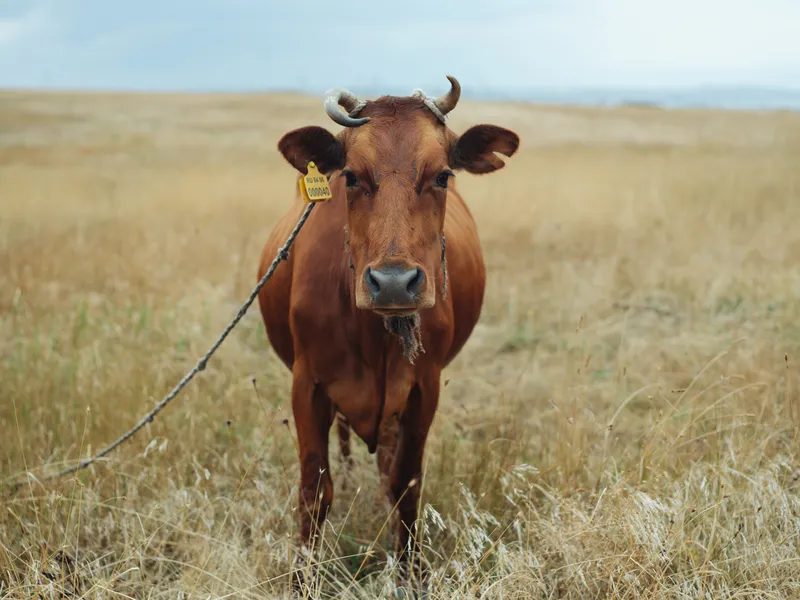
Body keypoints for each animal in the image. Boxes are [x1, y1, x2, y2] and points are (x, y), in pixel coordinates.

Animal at [257, 75, 519, 586]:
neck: (372, 336)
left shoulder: (423, 388)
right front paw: (302, 578)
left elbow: (405, 481)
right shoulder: (307, 384)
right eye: (351, 176)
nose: (394, 282)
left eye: (442, 176)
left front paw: (410, 570)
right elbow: (314, 489)